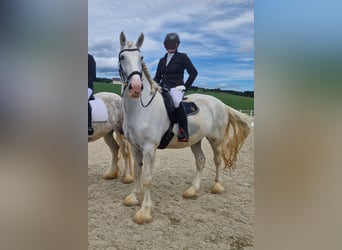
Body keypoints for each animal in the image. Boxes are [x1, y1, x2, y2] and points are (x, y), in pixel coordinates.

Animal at [119, 31, 250, 225]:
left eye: (141, 57)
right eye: (122, 57)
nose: (136, 88)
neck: (141, 109)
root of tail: (220, 103)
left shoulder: (149, 148)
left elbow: (147, 179)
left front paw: (145, 212)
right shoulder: (135, 147)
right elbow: (137, 173)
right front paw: (134, 198)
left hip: (216, 140)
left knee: (217, 161)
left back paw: (217, 186)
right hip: (195, 140)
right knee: (201, 161)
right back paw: (192, 190)